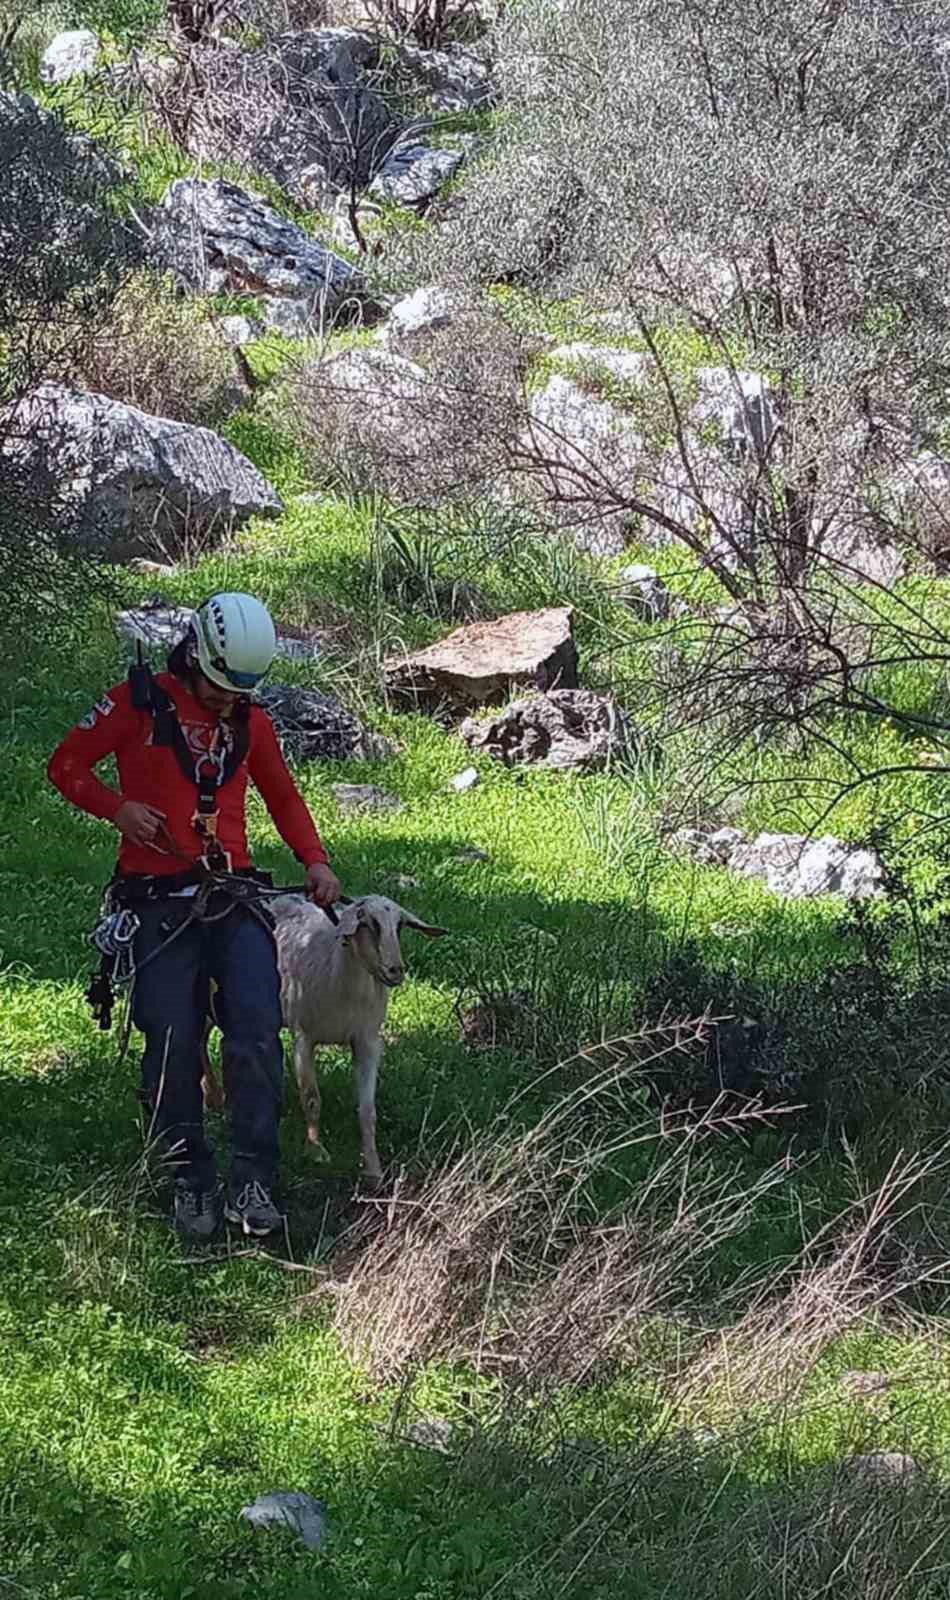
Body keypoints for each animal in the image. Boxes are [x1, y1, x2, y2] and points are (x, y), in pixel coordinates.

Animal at [199, 896, 444, 1184]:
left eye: (400, 926)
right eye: (368, 923)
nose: (396, 970)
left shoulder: (367, 1041)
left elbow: (368, 1110)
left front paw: (373, 1170)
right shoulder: (304, 1037)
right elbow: (312, 1098)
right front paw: (316, 1150)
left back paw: (216, 1095)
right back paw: (214, 1096)